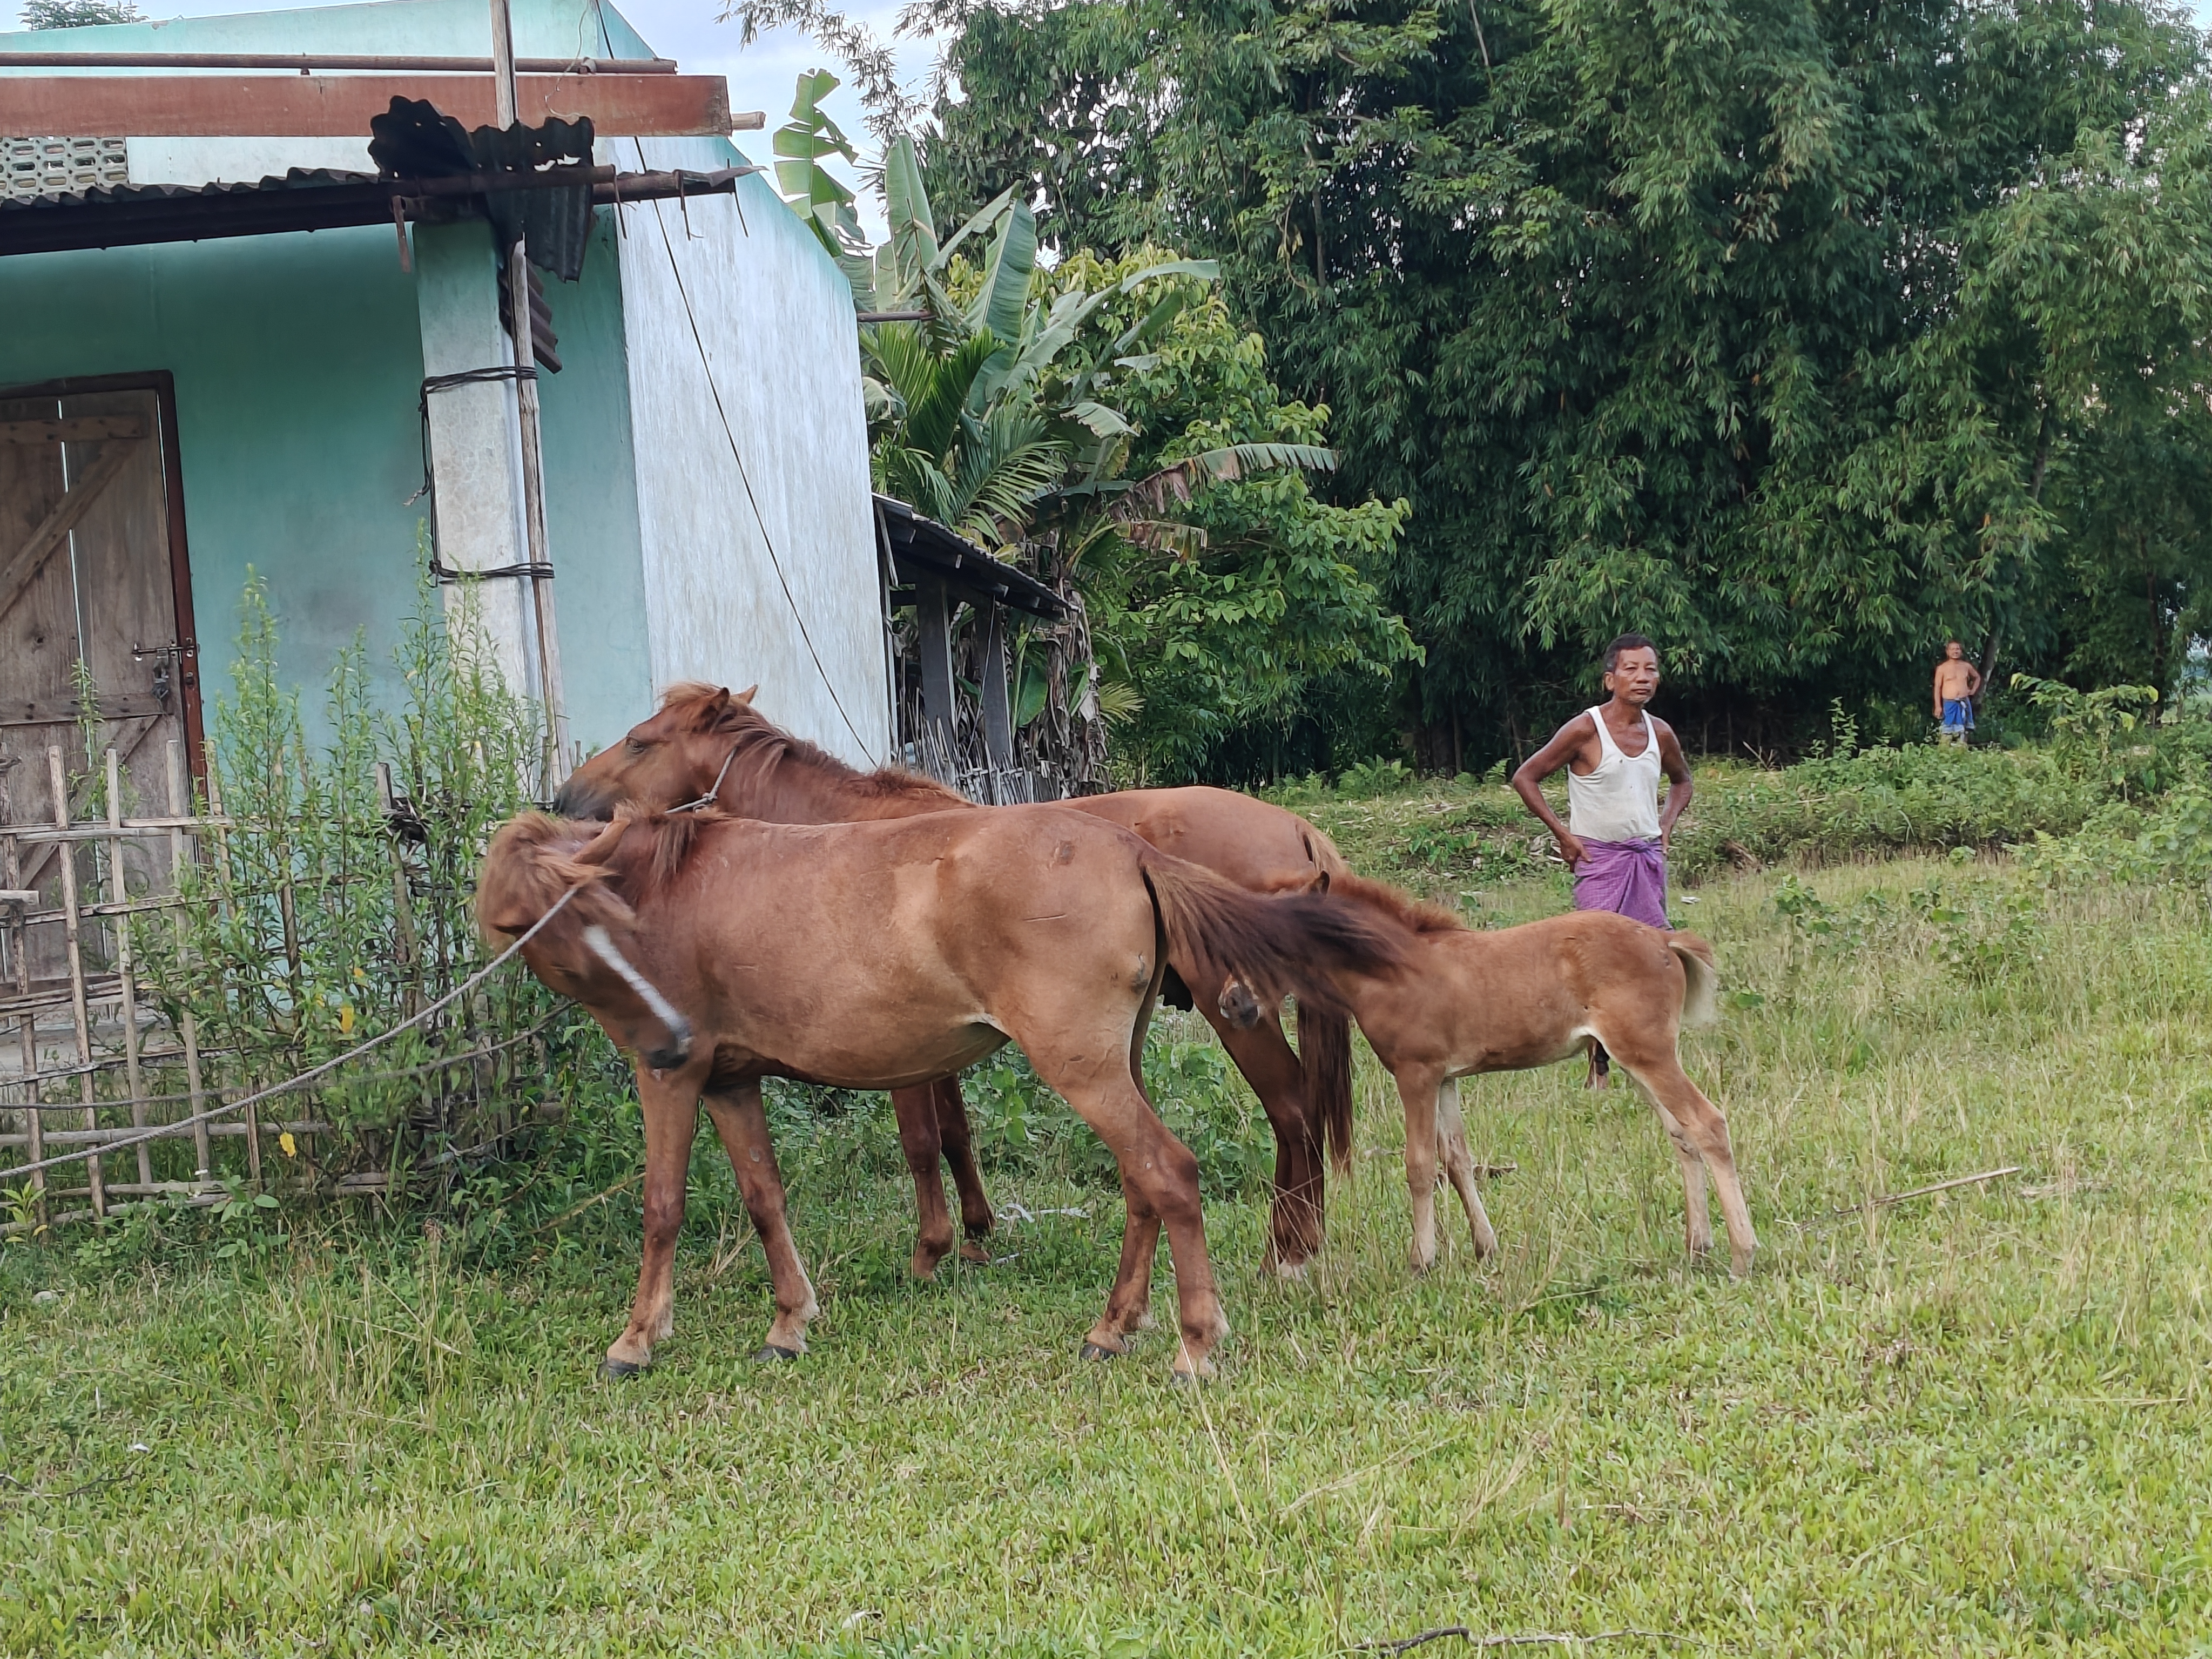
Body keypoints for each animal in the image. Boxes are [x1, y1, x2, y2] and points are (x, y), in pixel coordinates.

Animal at [477, 805, 1404, 1379]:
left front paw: (636, 1340)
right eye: (568, 939)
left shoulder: (671, 1079)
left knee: (1170, 1173)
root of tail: (1129, 848)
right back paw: (1113, 1327)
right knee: (1144, 1185)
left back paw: (1195, 1343)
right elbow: (765, 1198)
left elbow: (662, 1206)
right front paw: (790, 1323)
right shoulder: (730, 1083)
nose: (665, 1033)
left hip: (1081, 1068)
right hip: (1117, 1064)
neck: (673, 886)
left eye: (606, 922)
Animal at [552, 685, 1358, 1277]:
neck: (846, 829)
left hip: (1236, 1014)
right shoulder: (938, 1037)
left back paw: (1286, 1254)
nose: (562, 801)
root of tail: (1295, 831)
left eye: (640, 741)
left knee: (1291, 1108)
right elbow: (956, 1131)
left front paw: (930, 1252)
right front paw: (975, 1230)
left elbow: (918, 1140)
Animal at [1316, 874, 1755, 1277]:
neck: (1393, 966)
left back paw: (1742, 1255)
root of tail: (1665, 941)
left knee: (1707, 1124)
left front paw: (1421, 1260)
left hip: (1649, 1055)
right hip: (1636, 1061)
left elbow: (1419, 1165)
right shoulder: (1444, 1079)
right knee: (1682, 1134)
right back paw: (1698, 1246)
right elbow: (1456, 1160)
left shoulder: (1416, 1074)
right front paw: (1485, 1247)